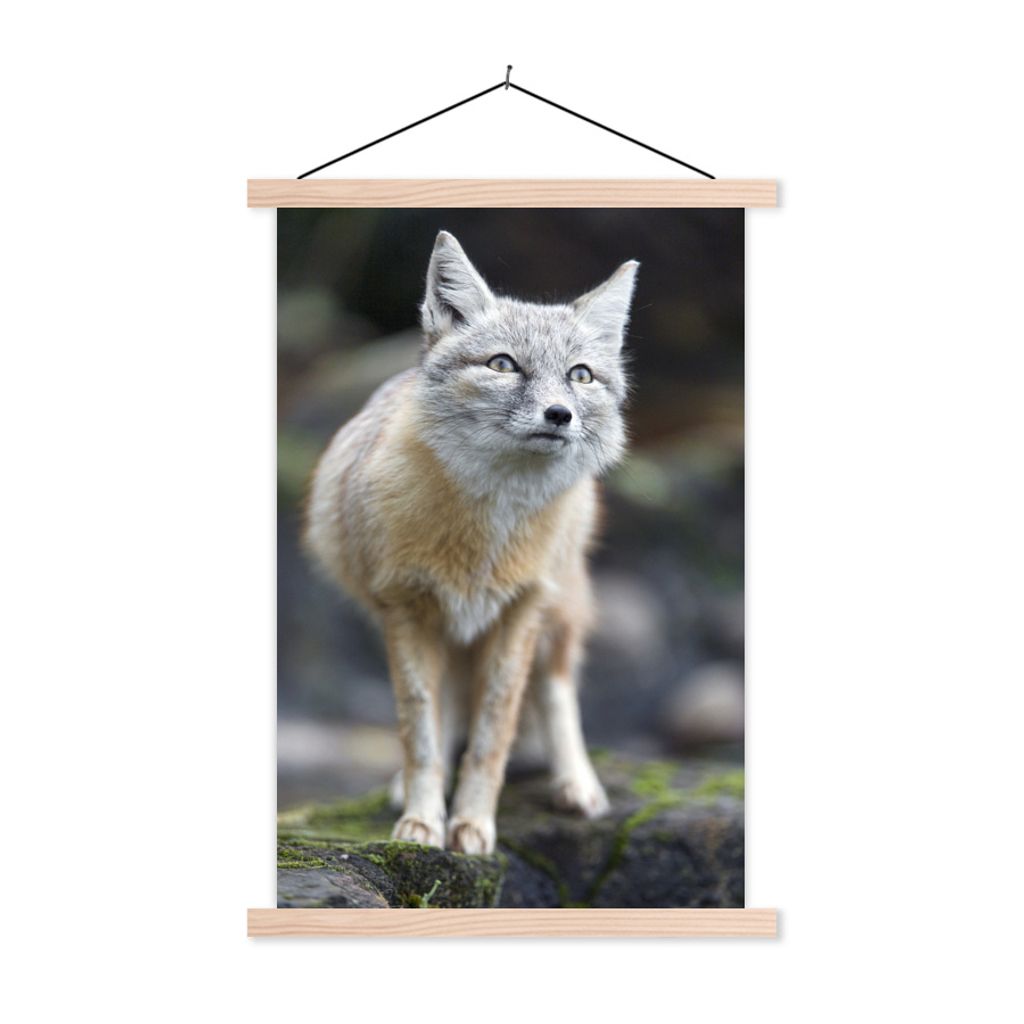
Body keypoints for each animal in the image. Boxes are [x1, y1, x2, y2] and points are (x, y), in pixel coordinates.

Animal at [304, 230, 638, 854]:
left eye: (580, 375)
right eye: (503, 365)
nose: (560, 414)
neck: (484, 538)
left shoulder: (520, 612)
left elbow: (494, 733)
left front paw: (474, 824)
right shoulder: (405, 609)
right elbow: (420, 730)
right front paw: (423, 820)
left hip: (557, 612)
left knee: (555, 689)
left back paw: (576, 784)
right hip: (444, 632)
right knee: (449, 706)